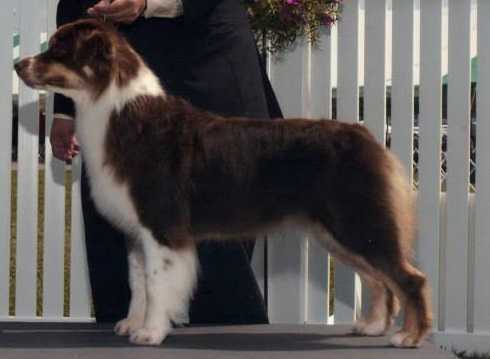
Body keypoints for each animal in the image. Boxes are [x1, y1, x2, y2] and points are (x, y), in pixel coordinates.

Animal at [14, 19, 432, 348]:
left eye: (58, 48)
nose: (17, 63)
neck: (115, 111)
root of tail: (367, 137)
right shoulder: (136, 230)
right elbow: (138, 284)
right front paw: (132, 324)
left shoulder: (161, 224)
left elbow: (157, 283)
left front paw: (150, 334)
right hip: (337, 233)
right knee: (379, 279)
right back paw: (372, 326)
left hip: (358, 221)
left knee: (408, 278)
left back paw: (408, 336)